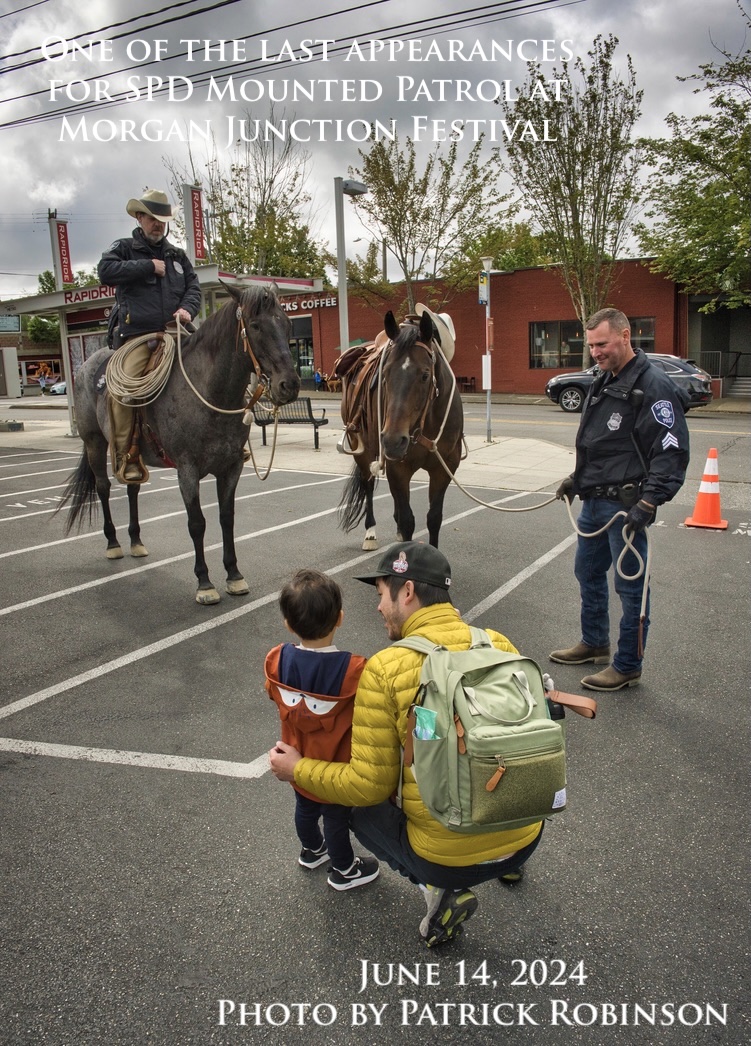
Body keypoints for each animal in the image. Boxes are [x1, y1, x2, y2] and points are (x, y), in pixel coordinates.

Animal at [58, 282, 299, 606]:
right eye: (256, 325)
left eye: (286, 324)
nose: (290, 385)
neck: (208, 393)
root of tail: (87, 365)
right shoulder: (187, 470)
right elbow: (197, 523)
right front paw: (205, 582)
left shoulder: (231, 468)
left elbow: (227, 519)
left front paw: (234, 575)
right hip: (94, 443)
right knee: (104, 488)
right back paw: (113, 543)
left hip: (133, 454)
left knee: (132, 488)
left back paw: (136, 540)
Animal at [336, 307, 464, 552]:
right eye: (384, 374)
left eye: (425, 375)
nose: (393, 441)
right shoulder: (399, 467)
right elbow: (408, 520)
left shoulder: (444, 467)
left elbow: (434, 517)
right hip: (363, 450)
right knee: (368, 485)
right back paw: (370, 534)